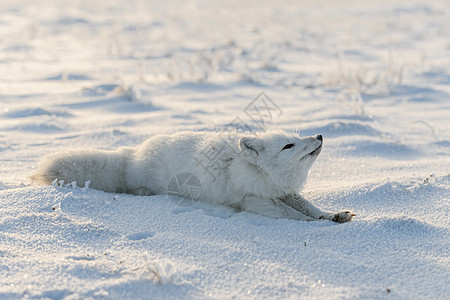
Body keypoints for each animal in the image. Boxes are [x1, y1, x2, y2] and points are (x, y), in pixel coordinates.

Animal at [31, 131, 356, 223]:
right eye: (289, 145)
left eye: (296, 137)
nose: (319, 135)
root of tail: (133, 154)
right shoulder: (253, 200)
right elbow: (294, 216)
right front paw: (315, 226)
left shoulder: (283, 192)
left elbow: (309, 207)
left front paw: (333, 216)